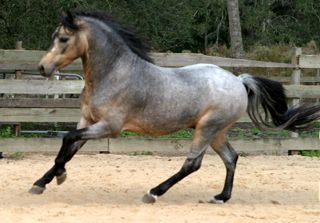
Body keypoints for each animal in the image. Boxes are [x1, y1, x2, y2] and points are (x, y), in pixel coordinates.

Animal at [30, 11, 320, 204]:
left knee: (193, 163)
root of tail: (238, 80)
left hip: (206, 128)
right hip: (217, 132)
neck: (114, 73)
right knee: (231, 157)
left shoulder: (108, 128)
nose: (42, 67)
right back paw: (222, 197)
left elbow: (66, 141)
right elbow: (69, 148)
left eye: (63, 38)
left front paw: (55, 177)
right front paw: (43, 182)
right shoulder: (87, 122)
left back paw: (153, 193)